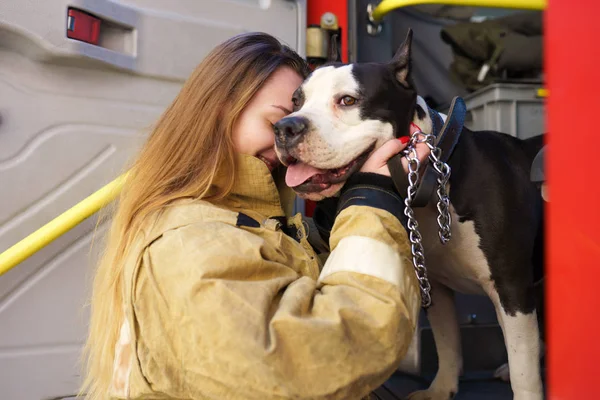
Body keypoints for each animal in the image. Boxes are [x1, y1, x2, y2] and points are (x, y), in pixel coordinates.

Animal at [274, 28, 548, 400]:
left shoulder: (512, 288)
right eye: (296, 101)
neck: (434, 182)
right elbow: (448, 342)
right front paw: (441, 389)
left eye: (347, 100)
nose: (284, 127)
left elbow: (523, 366)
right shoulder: (436, 286)